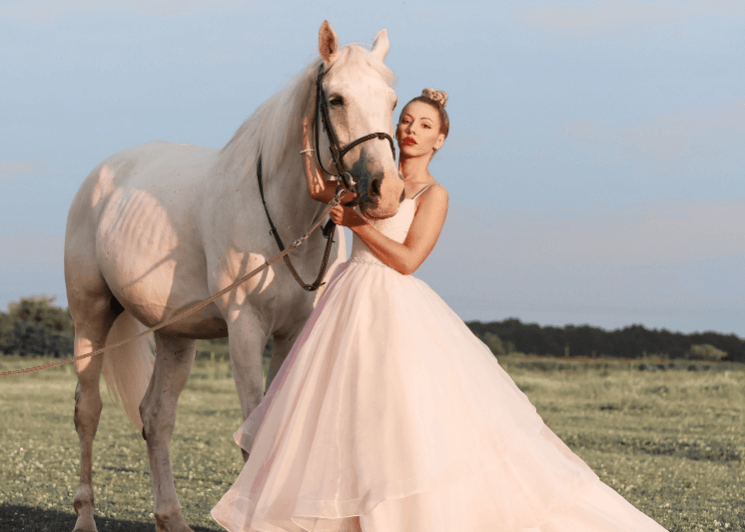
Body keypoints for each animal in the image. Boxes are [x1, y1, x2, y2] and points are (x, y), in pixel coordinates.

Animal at [64, 21, 404, 532]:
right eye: (337, 99)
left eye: (392, 99)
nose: (386, 190)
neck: (283, 217)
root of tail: (100, 177)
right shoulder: (245, 331)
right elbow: (254, 435)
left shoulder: (290, 334)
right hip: (91, 316)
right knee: (88, 412)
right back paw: (86, 517)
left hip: (175, 336)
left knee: (156, 418)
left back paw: (170, 517)